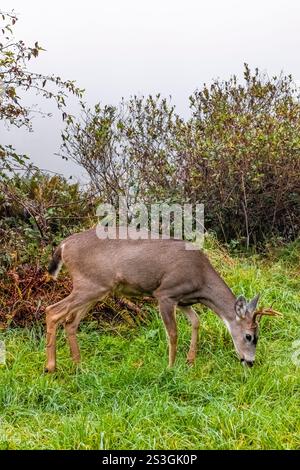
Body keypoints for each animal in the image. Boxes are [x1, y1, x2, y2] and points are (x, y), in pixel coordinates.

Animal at [44, 226, 278, 372]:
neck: (201, 280)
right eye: (249, 336)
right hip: (89, 285)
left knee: (70, 321)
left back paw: (78, 365)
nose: (250, 362)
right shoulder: (165, 293)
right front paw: (170, 367)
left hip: (97, 289)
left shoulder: (183, 300)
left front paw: (190, 361)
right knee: (52, 311)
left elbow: (196, 321)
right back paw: (51, 367)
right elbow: (173, 333)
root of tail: (63, 245)